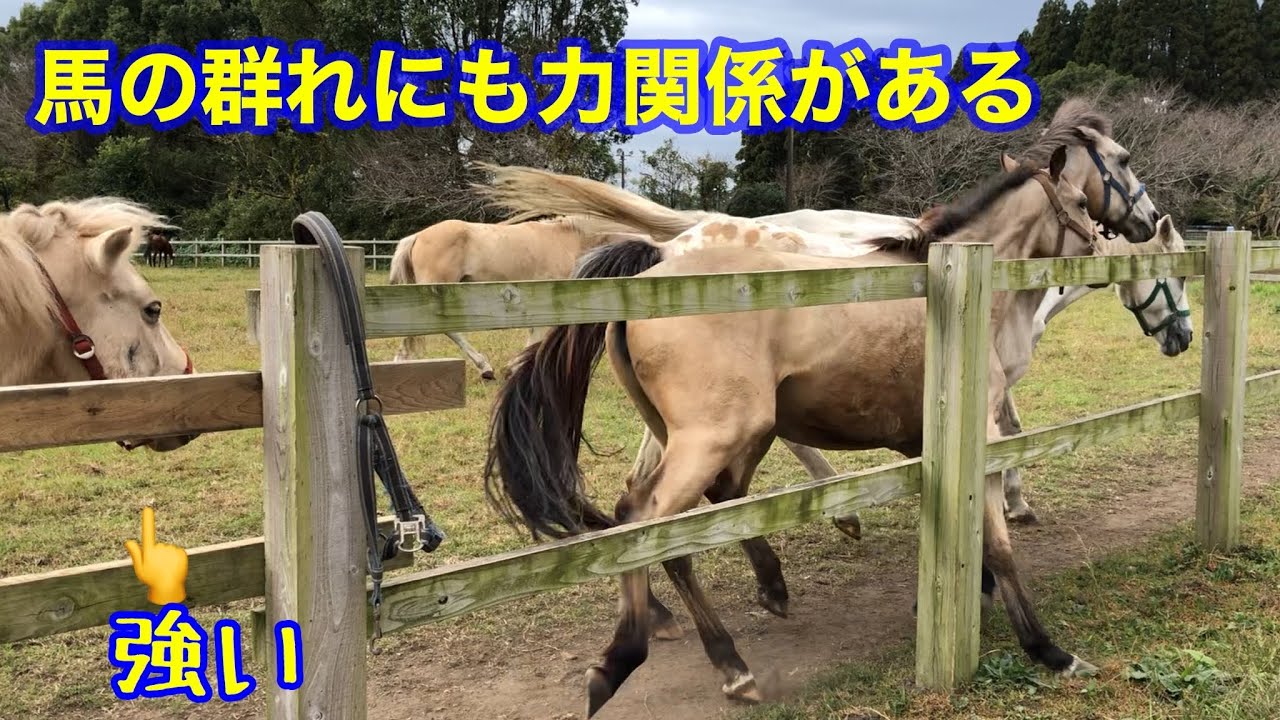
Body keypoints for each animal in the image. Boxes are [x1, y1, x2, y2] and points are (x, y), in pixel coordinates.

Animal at [485, 141, 1109, 715]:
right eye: (1081, 201)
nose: (1103, 252)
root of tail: (653, 272)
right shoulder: (982, 437)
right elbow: (999, 545)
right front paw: (1049, 650)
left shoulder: (923, 443)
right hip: (714, 438)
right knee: (648, 521)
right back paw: (654, 663)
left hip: (721, 436)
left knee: (702, 512)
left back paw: (754, 611)